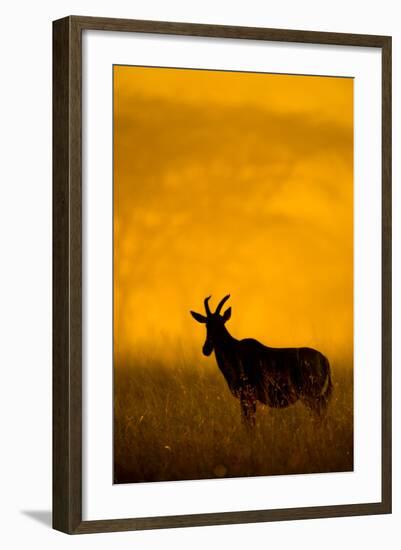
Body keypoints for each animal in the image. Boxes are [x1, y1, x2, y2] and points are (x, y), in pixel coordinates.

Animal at [190, 296, 332, 430]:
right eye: (207, 325)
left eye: (220, 324)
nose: (206, 349)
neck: (235, 349)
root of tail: (324, 359)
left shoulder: (247, 397)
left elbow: (248, 423)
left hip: (310, 395)